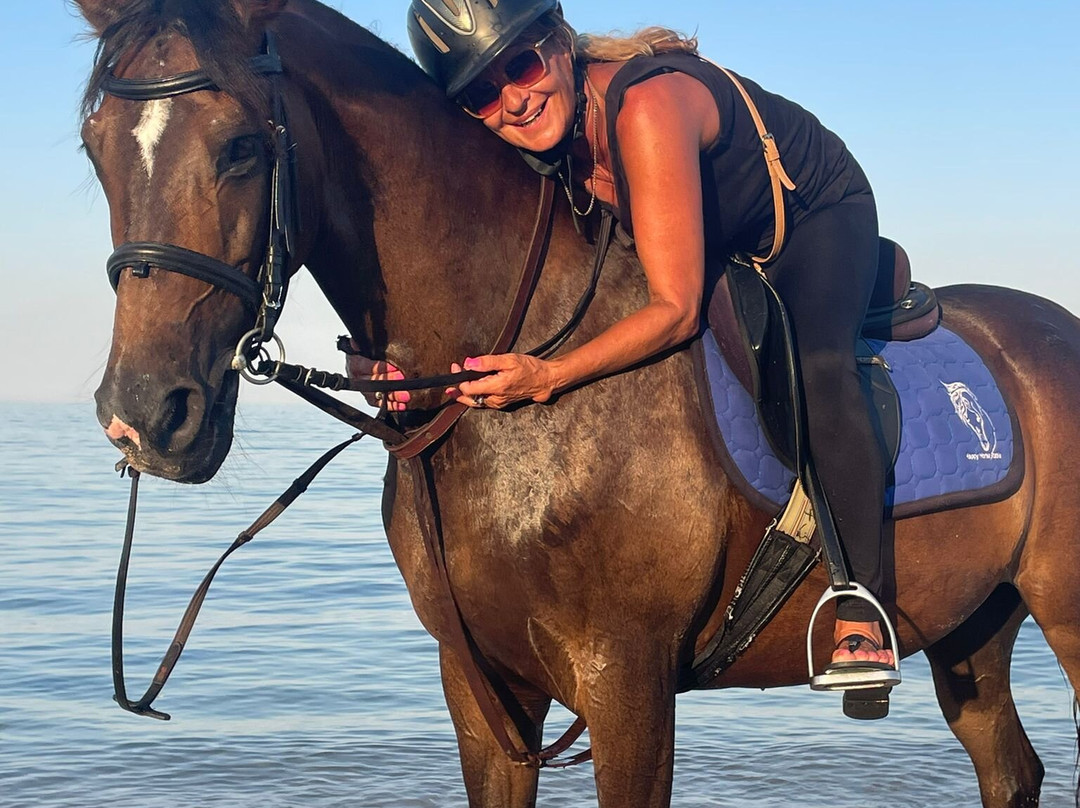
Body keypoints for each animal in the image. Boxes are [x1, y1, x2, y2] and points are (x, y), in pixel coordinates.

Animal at [78, 1, 1080, 805]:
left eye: (242, 147)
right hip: (971, 626)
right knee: (1010, 769)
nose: (147, 414)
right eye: (95, 151)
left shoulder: (626, 680)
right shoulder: (483, 691)